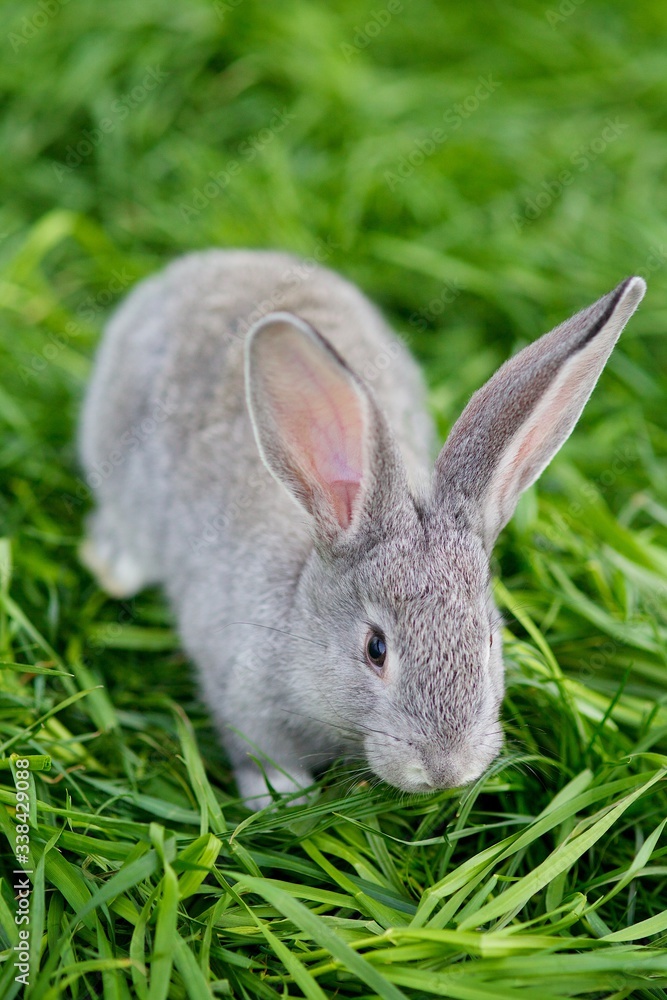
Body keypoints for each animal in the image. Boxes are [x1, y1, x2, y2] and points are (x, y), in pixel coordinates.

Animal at [78, 249, 646, 809]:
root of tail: (210, 264)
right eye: (376, 649)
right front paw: (288, 801)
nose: (446, 769)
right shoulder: (247, 700)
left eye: (487, 640)